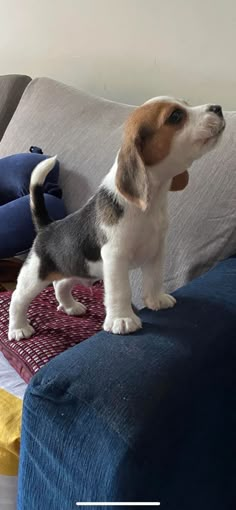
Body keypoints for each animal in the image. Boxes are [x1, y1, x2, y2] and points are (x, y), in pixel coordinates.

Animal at [7, 97, 225, 340]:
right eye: (175, 116)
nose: (218, 108)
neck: (148, 204)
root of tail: (47, 226)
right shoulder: (115, 257)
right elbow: (121, 290)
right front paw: (122, 319)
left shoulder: (156, 251)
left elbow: (154, 277)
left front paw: (156, 300)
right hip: (35, 275)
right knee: (18, 299)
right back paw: (18, 328)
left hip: (77, 268)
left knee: (61, 284)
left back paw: (71, 307)